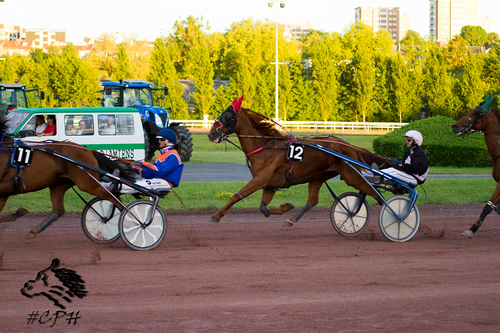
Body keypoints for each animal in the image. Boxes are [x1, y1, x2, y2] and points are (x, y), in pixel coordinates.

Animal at [207, 96, 394, 226]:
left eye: (227, 116)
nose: (211, 134)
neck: (265, 146)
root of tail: (349, 146)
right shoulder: (270, 184)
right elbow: (263, 208)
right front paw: (286, 207)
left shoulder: (260, 179)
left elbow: (236, 196)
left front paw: (216, 216)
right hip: (318, 176)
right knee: (312, 201)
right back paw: (292, 219)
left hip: (352, 176)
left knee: (376, 194)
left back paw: (394, 215)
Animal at [450, 94, 500, 237]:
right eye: (470, 109)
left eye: (477, 113)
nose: (454, 126)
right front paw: (471, 229)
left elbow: (488, 207)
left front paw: (472, 229)